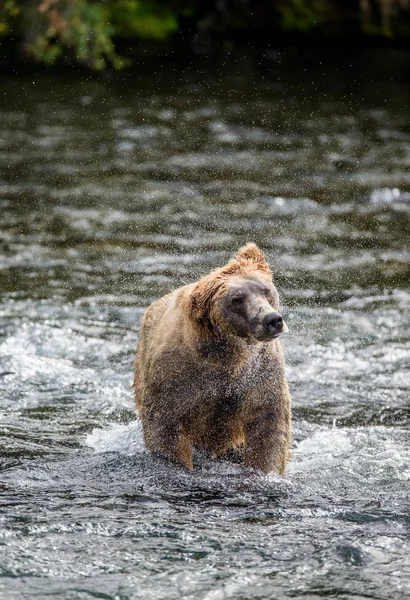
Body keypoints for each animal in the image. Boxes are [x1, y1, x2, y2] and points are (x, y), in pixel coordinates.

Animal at [134, 244, 292, 474]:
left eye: (266, 290)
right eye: (236, 299)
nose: (272, 320)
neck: (227, 354)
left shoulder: (260, 373)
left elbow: (268, 426)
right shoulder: (177, 375)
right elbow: (165, 427)